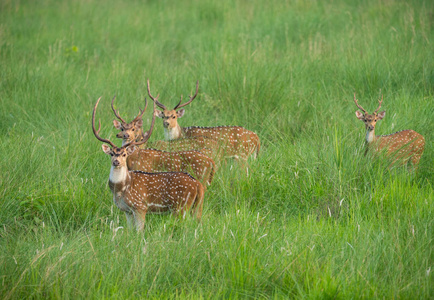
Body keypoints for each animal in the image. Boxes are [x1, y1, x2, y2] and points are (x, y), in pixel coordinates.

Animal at [92, 97, 204, 231]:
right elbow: (130, 231)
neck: (120, 190)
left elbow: (139, 231)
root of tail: (198, 185)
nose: (116, 161)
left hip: (181, 206)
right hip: (196, 206)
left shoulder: (140, 206)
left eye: (124, 154)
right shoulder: (127, 210)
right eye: (112, 153)